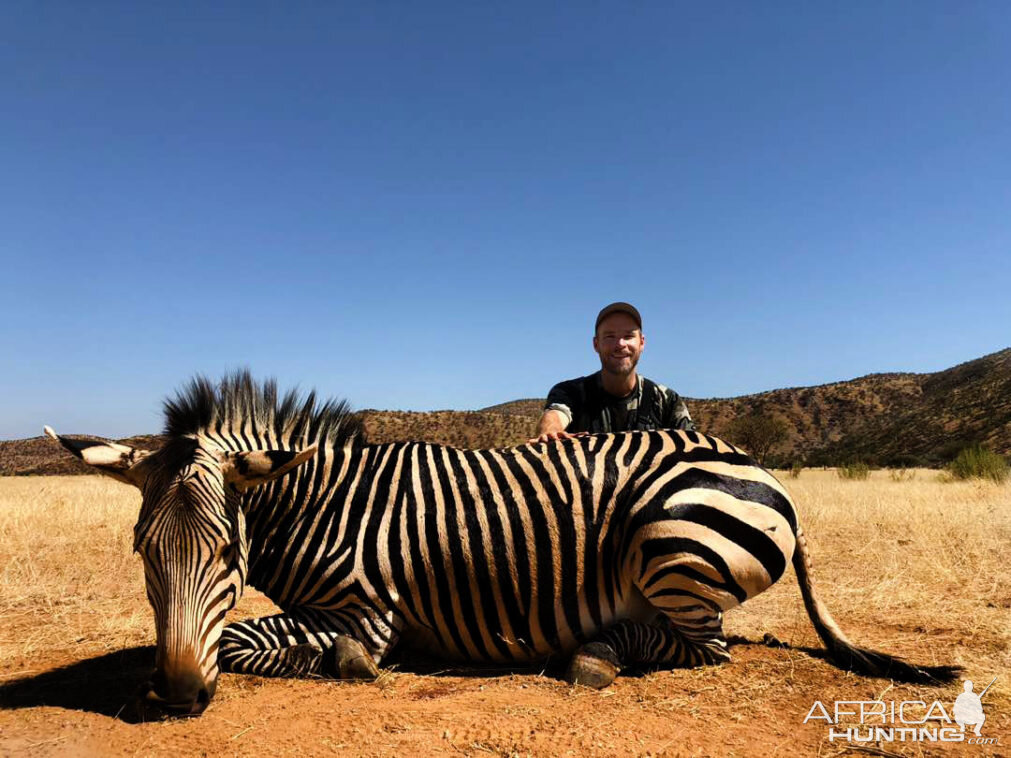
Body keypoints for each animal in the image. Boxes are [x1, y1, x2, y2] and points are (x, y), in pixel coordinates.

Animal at [47, 373, 958, 719]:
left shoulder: (366, 611)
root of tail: (749, 461)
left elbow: (257, 641)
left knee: (704, 648)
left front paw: (359, 665)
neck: (318, 502)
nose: (177, 698)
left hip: (670, 544)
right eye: (142, 553)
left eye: (226, 556)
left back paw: (592, 653)